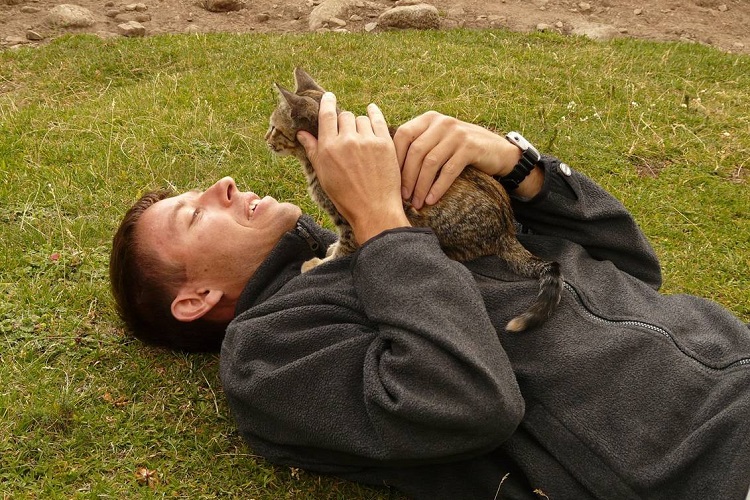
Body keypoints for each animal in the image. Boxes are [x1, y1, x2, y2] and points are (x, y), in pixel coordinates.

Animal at [268, 66, 560, 332]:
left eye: (273, 128)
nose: (265, 139)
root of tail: (507, 229)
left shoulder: (348, 219)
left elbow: (344, 247)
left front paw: (321, 263)